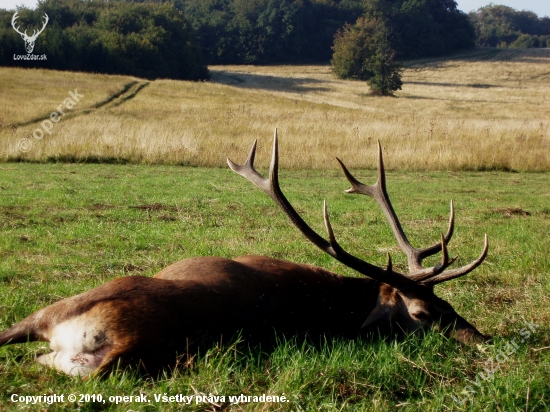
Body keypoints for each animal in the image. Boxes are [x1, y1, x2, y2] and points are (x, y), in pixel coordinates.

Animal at [0, 132, 492, 376]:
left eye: (448, 303)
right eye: (424, 313)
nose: (483, 338)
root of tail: (108, 340)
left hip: (84, 333)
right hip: (55, 310)